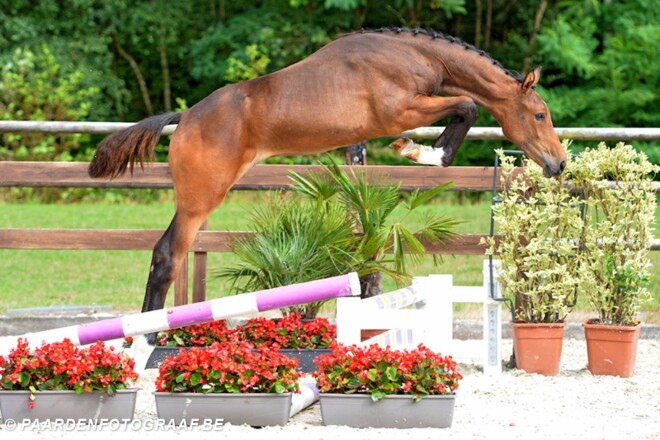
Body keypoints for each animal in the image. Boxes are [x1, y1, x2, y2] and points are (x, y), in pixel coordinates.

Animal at [89, 27, 567, 319]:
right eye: (539, 115)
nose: (559, 164)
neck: (413, 55)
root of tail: (185, 117)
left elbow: (463, 109)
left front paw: (418, 150)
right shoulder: (401, 110)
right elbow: (467, 106)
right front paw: (422, 153)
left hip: (197, 198)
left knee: (163, 253)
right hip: (201, 198)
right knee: (168, 256)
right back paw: (147, 340)